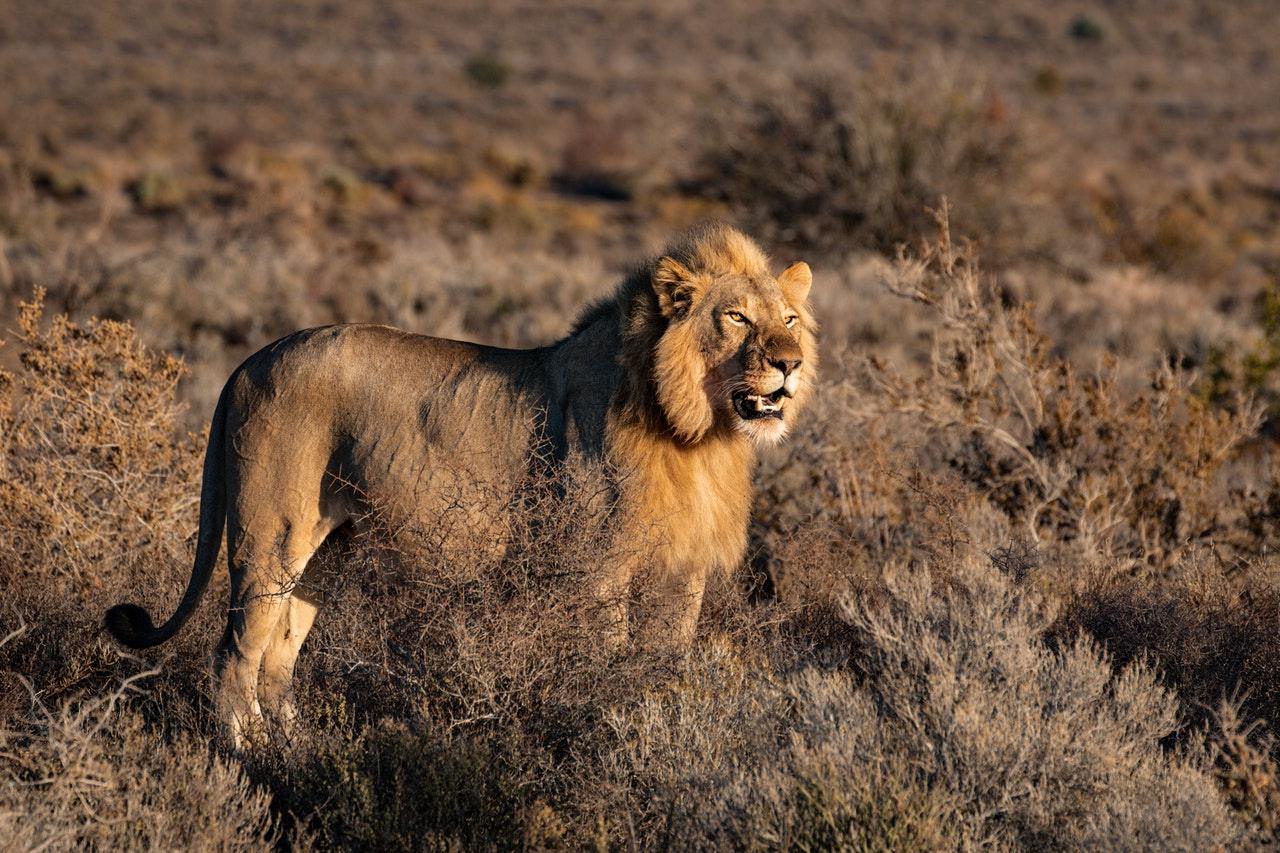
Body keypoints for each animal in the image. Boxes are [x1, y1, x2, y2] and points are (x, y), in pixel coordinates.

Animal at [105, 224, 817, 746]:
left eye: (788, 319)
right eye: (737, 318)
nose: (790, 364)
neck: (698, 434)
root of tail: (247, 363)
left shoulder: (682, 571)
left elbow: (666, 663)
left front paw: (661, 722)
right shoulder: (599, 569)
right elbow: (610, 662)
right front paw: (612, 726)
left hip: (327, 552)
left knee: (280, 657)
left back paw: (299, 751)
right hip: (269, 537)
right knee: (234, 654)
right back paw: (248, 759)